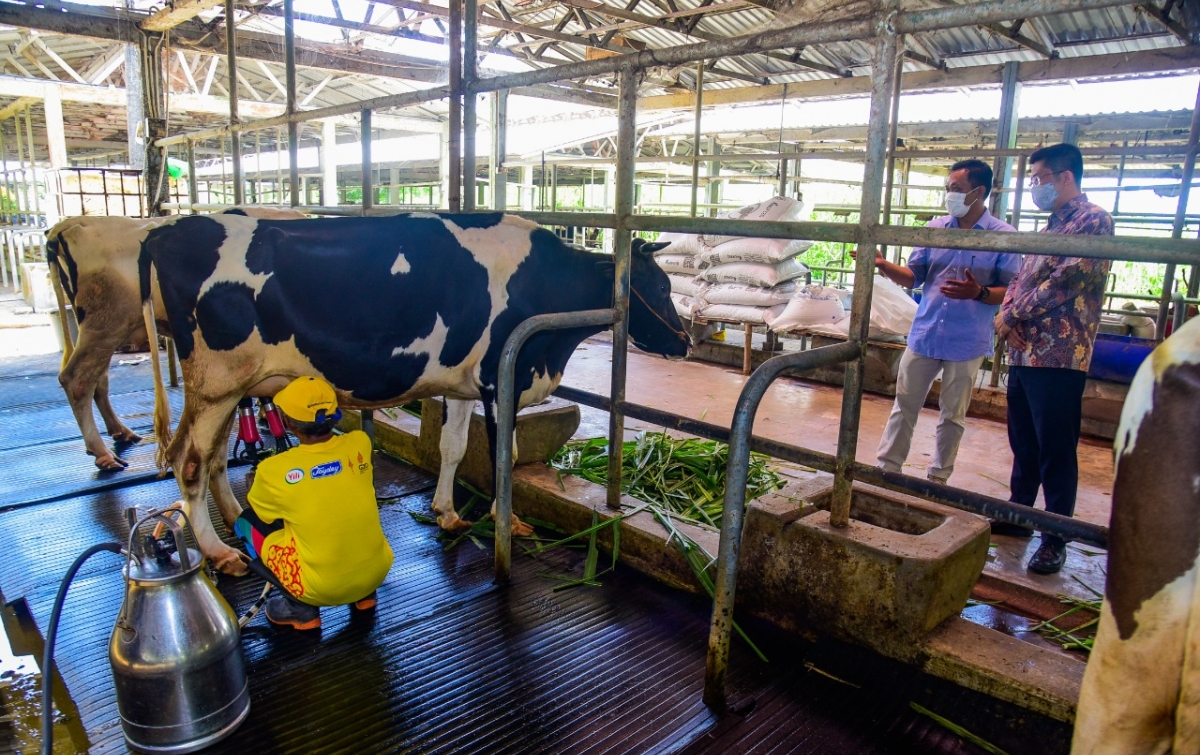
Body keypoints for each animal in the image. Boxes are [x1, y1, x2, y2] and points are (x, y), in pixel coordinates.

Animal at [139, 210, 686, 571]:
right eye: (661, 288)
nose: (685, 342)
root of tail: (169, 229)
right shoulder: (500, 378)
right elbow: (502, 456)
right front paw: (507, 524)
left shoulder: (466, 384)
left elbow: (453, 447)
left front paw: (447, 513)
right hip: (217, 384)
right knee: (188, 461)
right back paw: (218, 552)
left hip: (228, 390)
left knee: (210, 457)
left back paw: (236, 520)